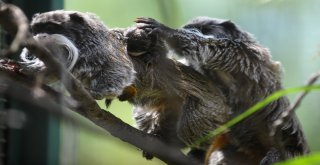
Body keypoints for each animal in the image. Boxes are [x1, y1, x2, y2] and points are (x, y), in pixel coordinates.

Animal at [136, 17, 310, 164]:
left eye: (204, 29)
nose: (193, 30)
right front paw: (160, 137)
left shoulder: (242, 52)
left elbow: (211, 49)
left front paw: (166, 31)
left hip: (293, 152)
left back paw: (274, 156)